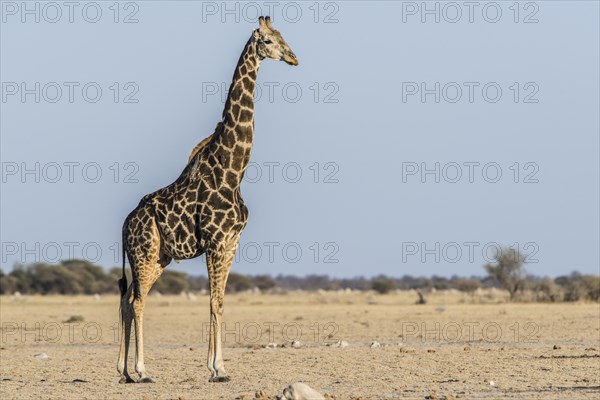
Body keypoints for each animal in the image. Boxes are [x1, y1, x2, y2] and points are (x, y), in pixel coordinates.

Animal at [117, 16, 298, 384]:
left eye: (283, 36)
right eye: (268, 40)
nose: (293, 58)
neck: (233, 172)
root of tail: (125, 223)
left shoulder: (231, 242)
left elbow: (220, 302)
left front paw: (218, 367)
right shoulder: (215, 241)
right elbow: (213, 302)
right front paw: (218, 369)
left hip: (158, 257)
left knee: (127, 300)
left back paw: (124, 371)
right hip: (144, 252)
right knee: (138, 301)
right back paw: (141, 370)